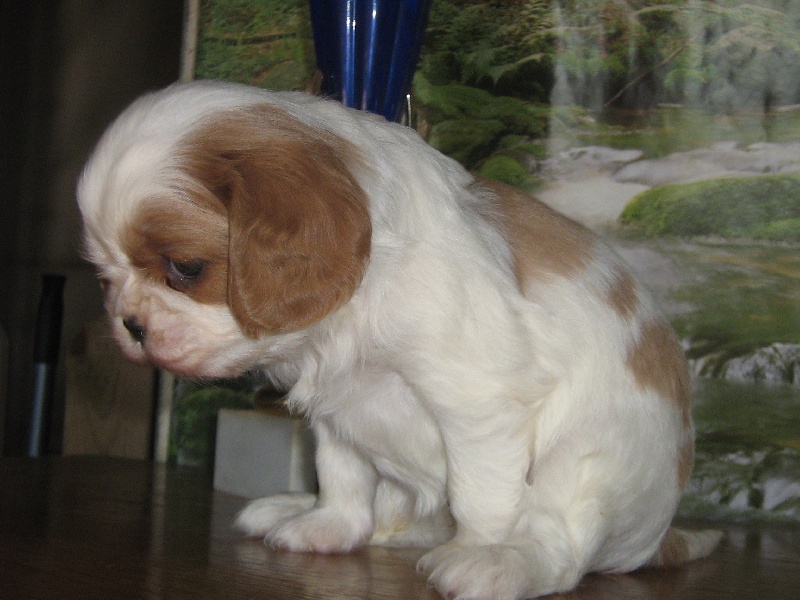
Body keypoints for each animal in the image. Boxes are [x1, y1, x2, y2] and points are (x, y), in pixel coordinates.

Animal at [77, 80, 720, 599]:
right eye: (104, 278)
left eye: (185, 268)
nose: (131, 326)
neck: (350, 311)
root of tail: (657, 537)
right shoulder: (336, 410)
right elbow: (340, 473)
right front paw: (328, 526)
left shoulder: (477, 402)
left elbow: (484, 495)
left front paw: (479, 550)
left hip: (589, 459)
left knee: (563, 542)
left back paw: (505, 564)